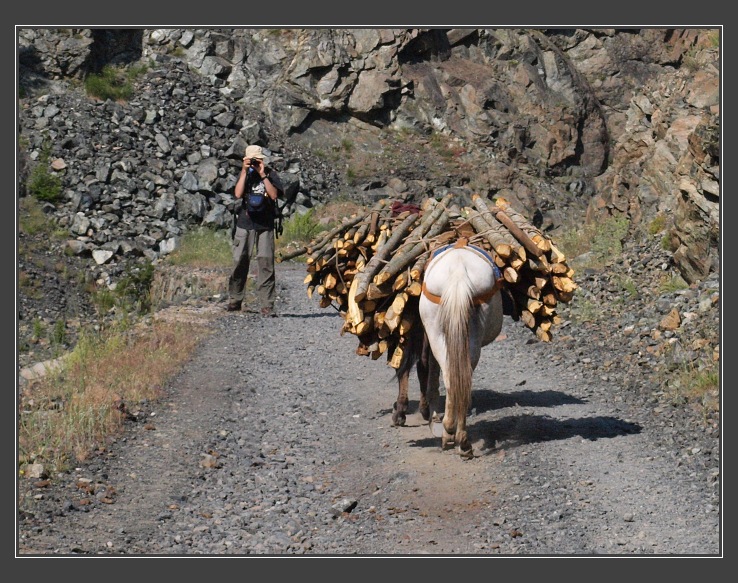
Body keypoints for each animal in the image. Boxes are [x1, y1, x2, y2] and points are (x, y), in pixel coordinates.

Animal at [416, 240, 504, 458]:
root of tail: (458, 274)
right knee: (458, 378)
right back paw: (458, 437)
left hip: (438, 331)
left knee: (452, 377)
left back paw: (453, 434)